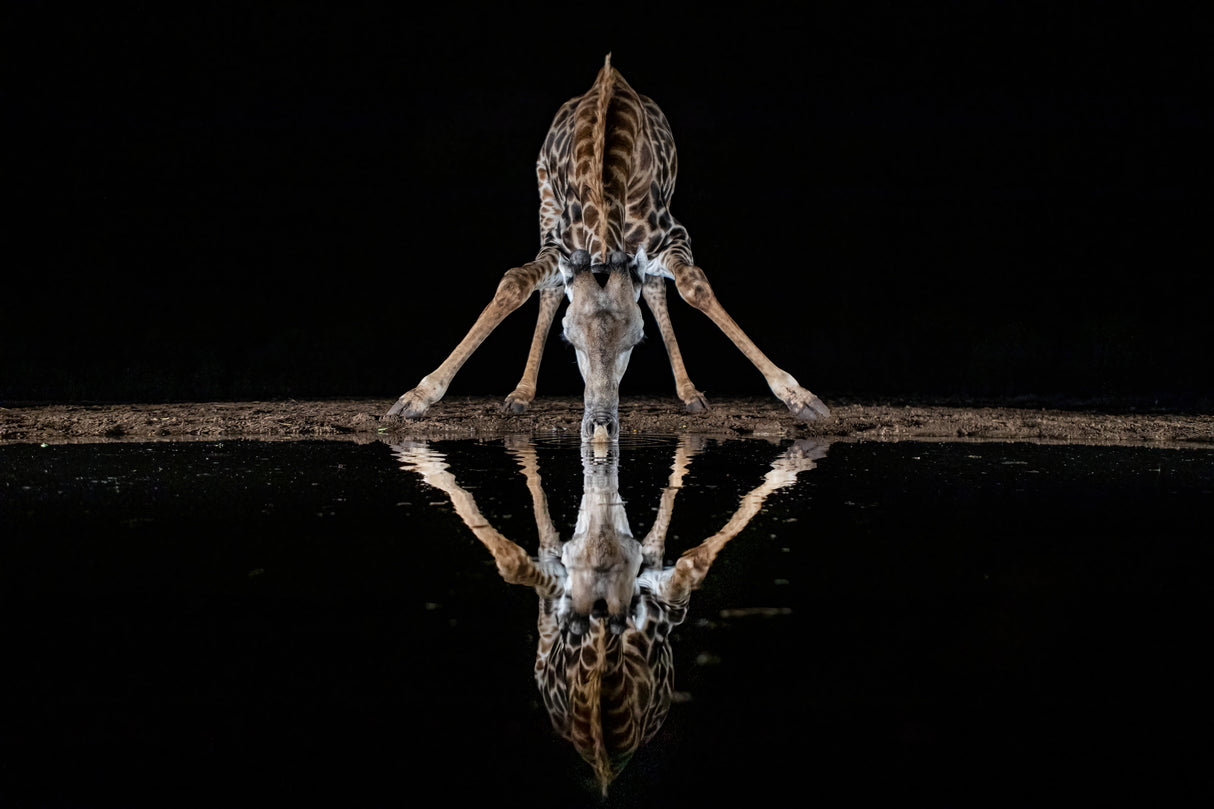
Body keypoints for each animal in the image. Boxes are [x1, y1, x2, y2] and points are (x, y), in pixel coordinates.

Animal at [387, 55, 831, 441]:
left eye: (635, 341)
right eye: (570, 340)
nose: (599, 427)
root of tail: (608, 73)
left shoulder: (672, 236)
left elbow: (694, 288)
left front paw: (799, 396)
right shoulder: (559, 244)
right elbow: (514, 285)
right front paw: (416, 397)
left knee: (655, 290)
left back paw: (689, 393)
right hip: (544, 201)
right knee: (550, 292)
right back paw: (521, 394)